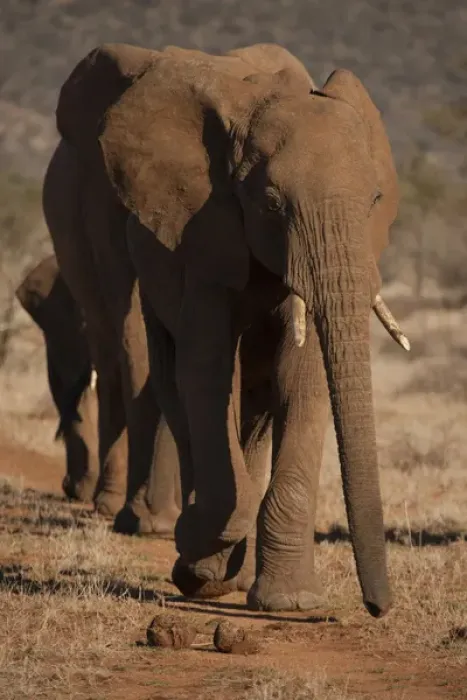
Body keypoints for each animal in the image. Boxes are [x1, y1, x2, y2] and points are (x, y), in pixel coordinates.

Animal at [52, 41, 410, 617]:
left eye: (376, 200)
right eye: (271, 204)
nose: (379, 607)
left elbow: (301, 380)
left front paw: (290, 604)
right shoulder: (201, 240)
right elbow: (208, 372)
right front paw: (199, 558)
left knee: (254, 399)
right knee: (176, 384)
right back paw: (202, 558)